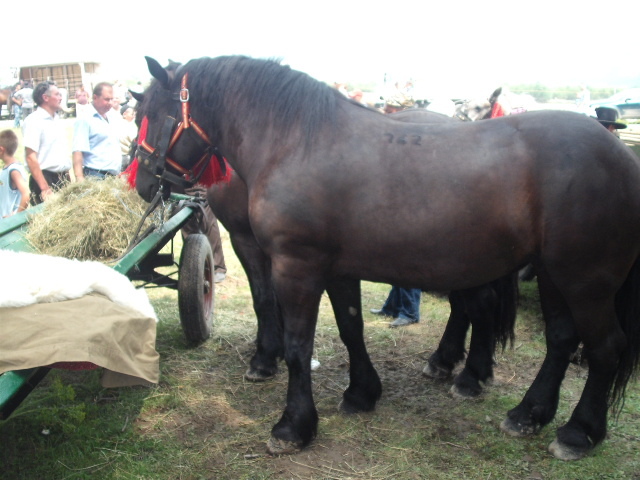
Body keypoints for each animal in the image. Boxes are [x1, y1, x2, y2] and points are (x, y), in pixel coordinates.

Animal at [136, 56, 640, 462]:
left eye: (150, 114)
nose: (141, 181)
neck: (297, 143)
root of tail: (622, 157)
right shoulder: (336, 269)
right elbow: (351, 328)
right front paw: (362, 393)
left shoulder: (296, 268)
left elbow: (299, 345)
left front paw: (293, 425)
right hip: (555, 276)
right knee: (559, 340)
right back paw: (528, 413)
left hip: (586, 282)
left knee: (605, 348)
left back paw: (577, 432)